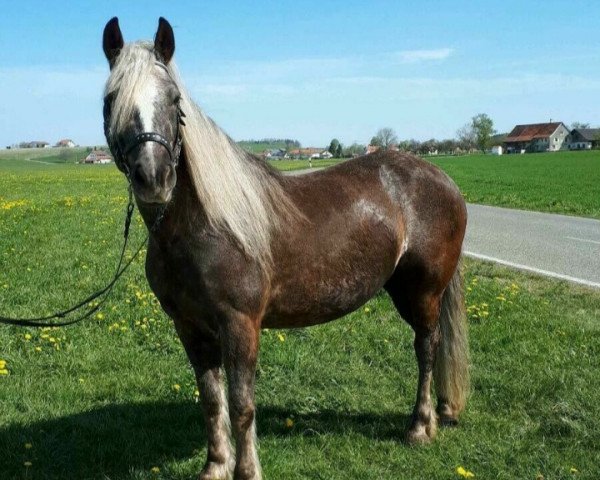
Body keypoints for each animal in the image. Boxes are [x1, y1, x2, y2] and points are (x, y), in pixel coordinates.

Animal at [102, 16, 468, 478]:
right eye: (110, 100)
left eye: (174, 99)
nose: (153, 178)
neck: (205, 227)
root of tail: (443, 180)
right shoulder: (189, 327)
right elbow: (211, 401)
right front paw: (215, 465)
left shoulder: (240, 325)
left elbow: (241, 404)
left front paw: (246, 470)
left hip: (421, 293)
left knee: (426, 348)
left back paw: (420, 426)